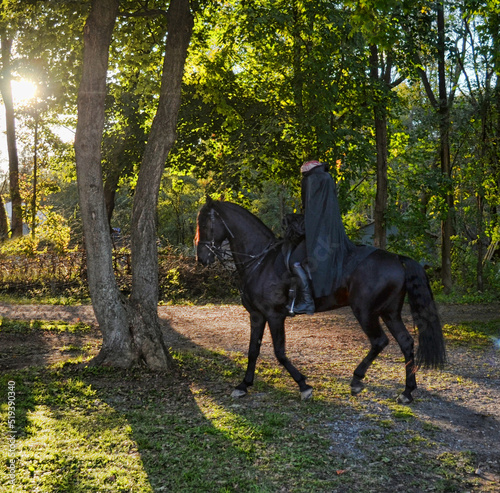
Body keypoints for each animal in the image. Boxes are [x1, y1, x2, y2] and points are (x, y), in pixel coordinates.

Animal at [195, 198, 446, 402]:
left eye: (204, 224)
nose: (201, 258)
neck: (260, 261)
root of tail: (396, 258)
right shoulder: (257, 315)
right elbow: (253, 350)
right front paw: (244, 385)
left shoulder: (275, 316)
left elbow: (279, 352)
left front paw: (303, 385)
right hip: (389, 312)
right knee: (405, 342)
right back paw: (407, 391)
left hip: (365, 311)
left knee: (379, 341)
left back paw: (357, 380)